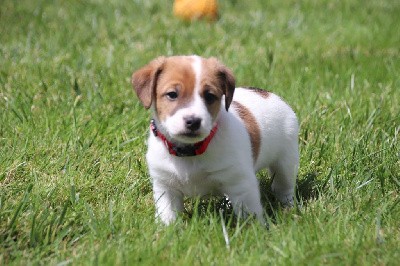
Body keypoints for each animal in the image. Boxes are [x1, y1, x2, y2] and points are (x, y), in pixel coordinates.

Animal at [133, 55, 298, 224]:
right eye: (172, 94)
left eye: (210, 96)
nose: (193, 121)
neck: (190, 151)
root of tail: (268, 94)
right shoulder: (165, 187)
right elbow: (167, 214)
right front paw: (167, 228)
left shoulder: (242, 184)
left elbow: (249, 215)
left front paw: (254, 229)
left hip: (285, 162)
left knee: (284, 186)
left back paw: (288, 208)